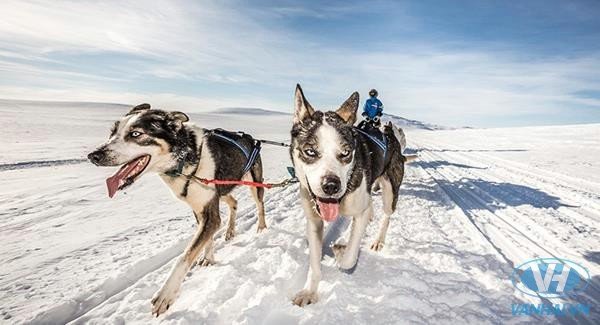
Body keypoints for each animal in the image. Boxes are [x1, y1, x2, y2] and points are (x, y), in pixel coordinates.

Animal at [88, 103, 266, 314]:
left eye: (135, 133)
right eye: (112, 133)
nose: (94, 155)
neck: (185, 159)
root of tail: (250, 138)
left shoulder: (209, 213)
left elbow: (185, 256)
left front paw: (166, 294)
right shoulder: (200, 210)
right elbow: (207, 240)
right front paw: (208, 258)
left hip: (254, 185)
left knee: (260, 205)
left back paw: (262, 228)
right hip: (221, 190)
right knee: (234, 202)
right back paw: (230, 231)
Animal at [290, 85, 412, 306]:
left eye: (346, 152)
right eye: (310, 151)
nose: (331, 186)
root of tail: (390, 134)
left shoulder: (359, 213)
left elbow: (350, 256)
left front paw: (340, 252)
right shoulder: (314, 221)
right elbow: (314, 262)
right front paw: (310, 291)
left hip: (391, 191)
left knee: (387, 215)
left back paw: (378, 240)